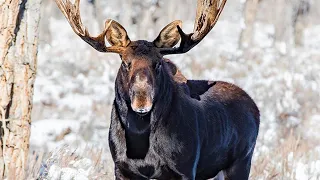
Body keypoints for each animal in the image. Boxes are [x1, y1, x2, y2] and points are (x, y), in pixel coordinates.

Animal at [55, 0, 260, 179]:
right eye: (125, 63)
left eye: (158, 63)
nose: (142, 102)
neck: (139, 138)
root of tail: (255, 107)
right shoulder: (122, 168)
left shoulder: (186, 168)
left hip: (241, 161)